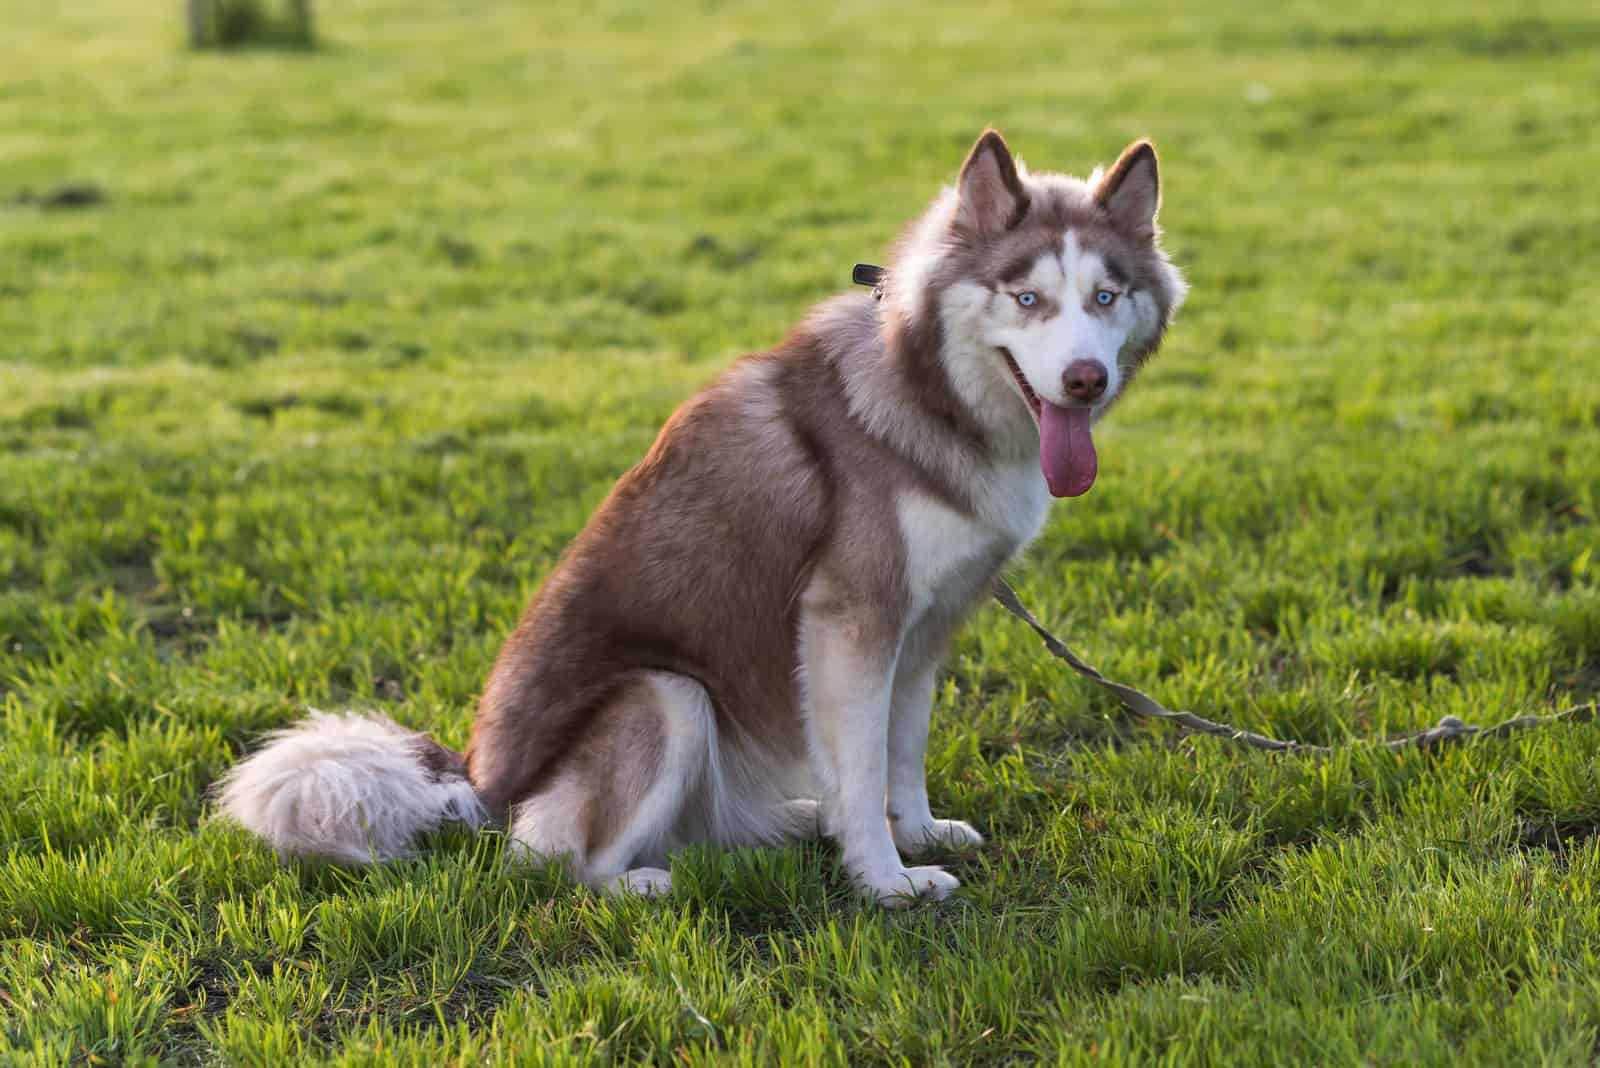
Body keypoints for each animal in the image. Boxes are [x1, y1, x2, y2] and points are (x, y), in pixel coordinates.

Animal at [219, 129, 1184, 908]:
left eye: (1106, 297)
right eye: (1027, 299)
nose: (1085, 380)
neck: (933, 400)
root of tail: (477, 788)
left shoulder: (928, 620)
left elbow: (899, 750)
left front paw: (913, 832)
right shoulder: (850, 620)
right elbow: (863, 761)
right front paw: (886, 881)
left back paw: (794, 821)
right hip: (667, 695)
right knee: (547, 860)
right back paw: (646, 880)